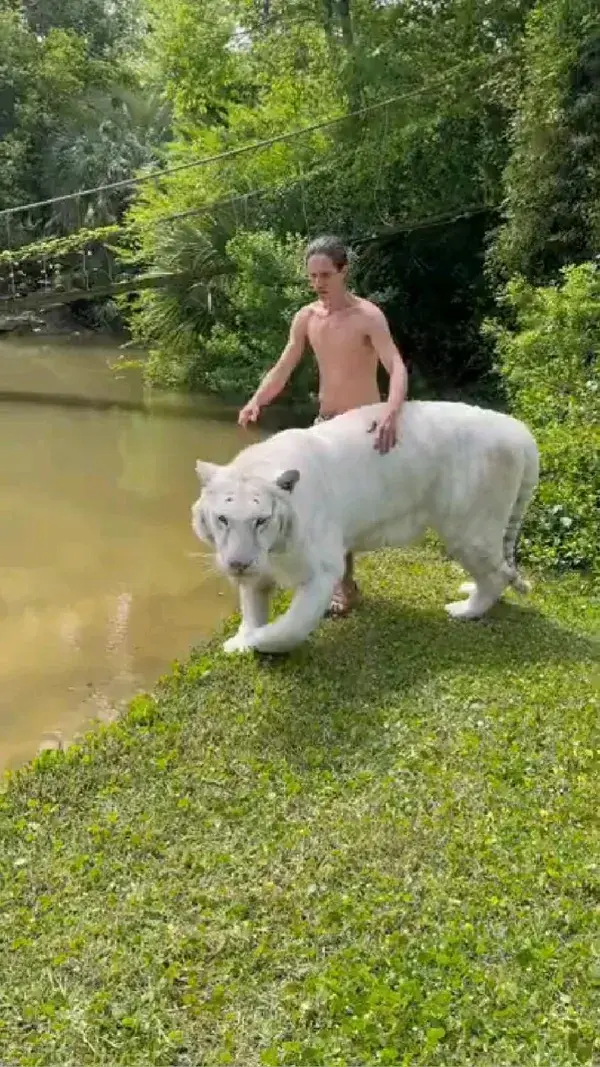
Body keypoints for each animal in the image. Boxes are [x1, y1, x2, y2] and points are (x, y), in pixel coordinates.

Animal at [190, 399, 538, 653]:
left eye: (261, 520)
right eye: (223, 519)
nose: (238, 564)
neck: (274, 549)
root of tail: (519, 430)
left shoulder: (321, 572)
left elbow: (288, 628)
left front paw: (250, 641)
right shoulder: (257, 573)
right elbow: (252, 608)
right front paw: (242, 639)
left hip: (469, 530)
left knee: (496, 576)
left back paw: (463, 610)